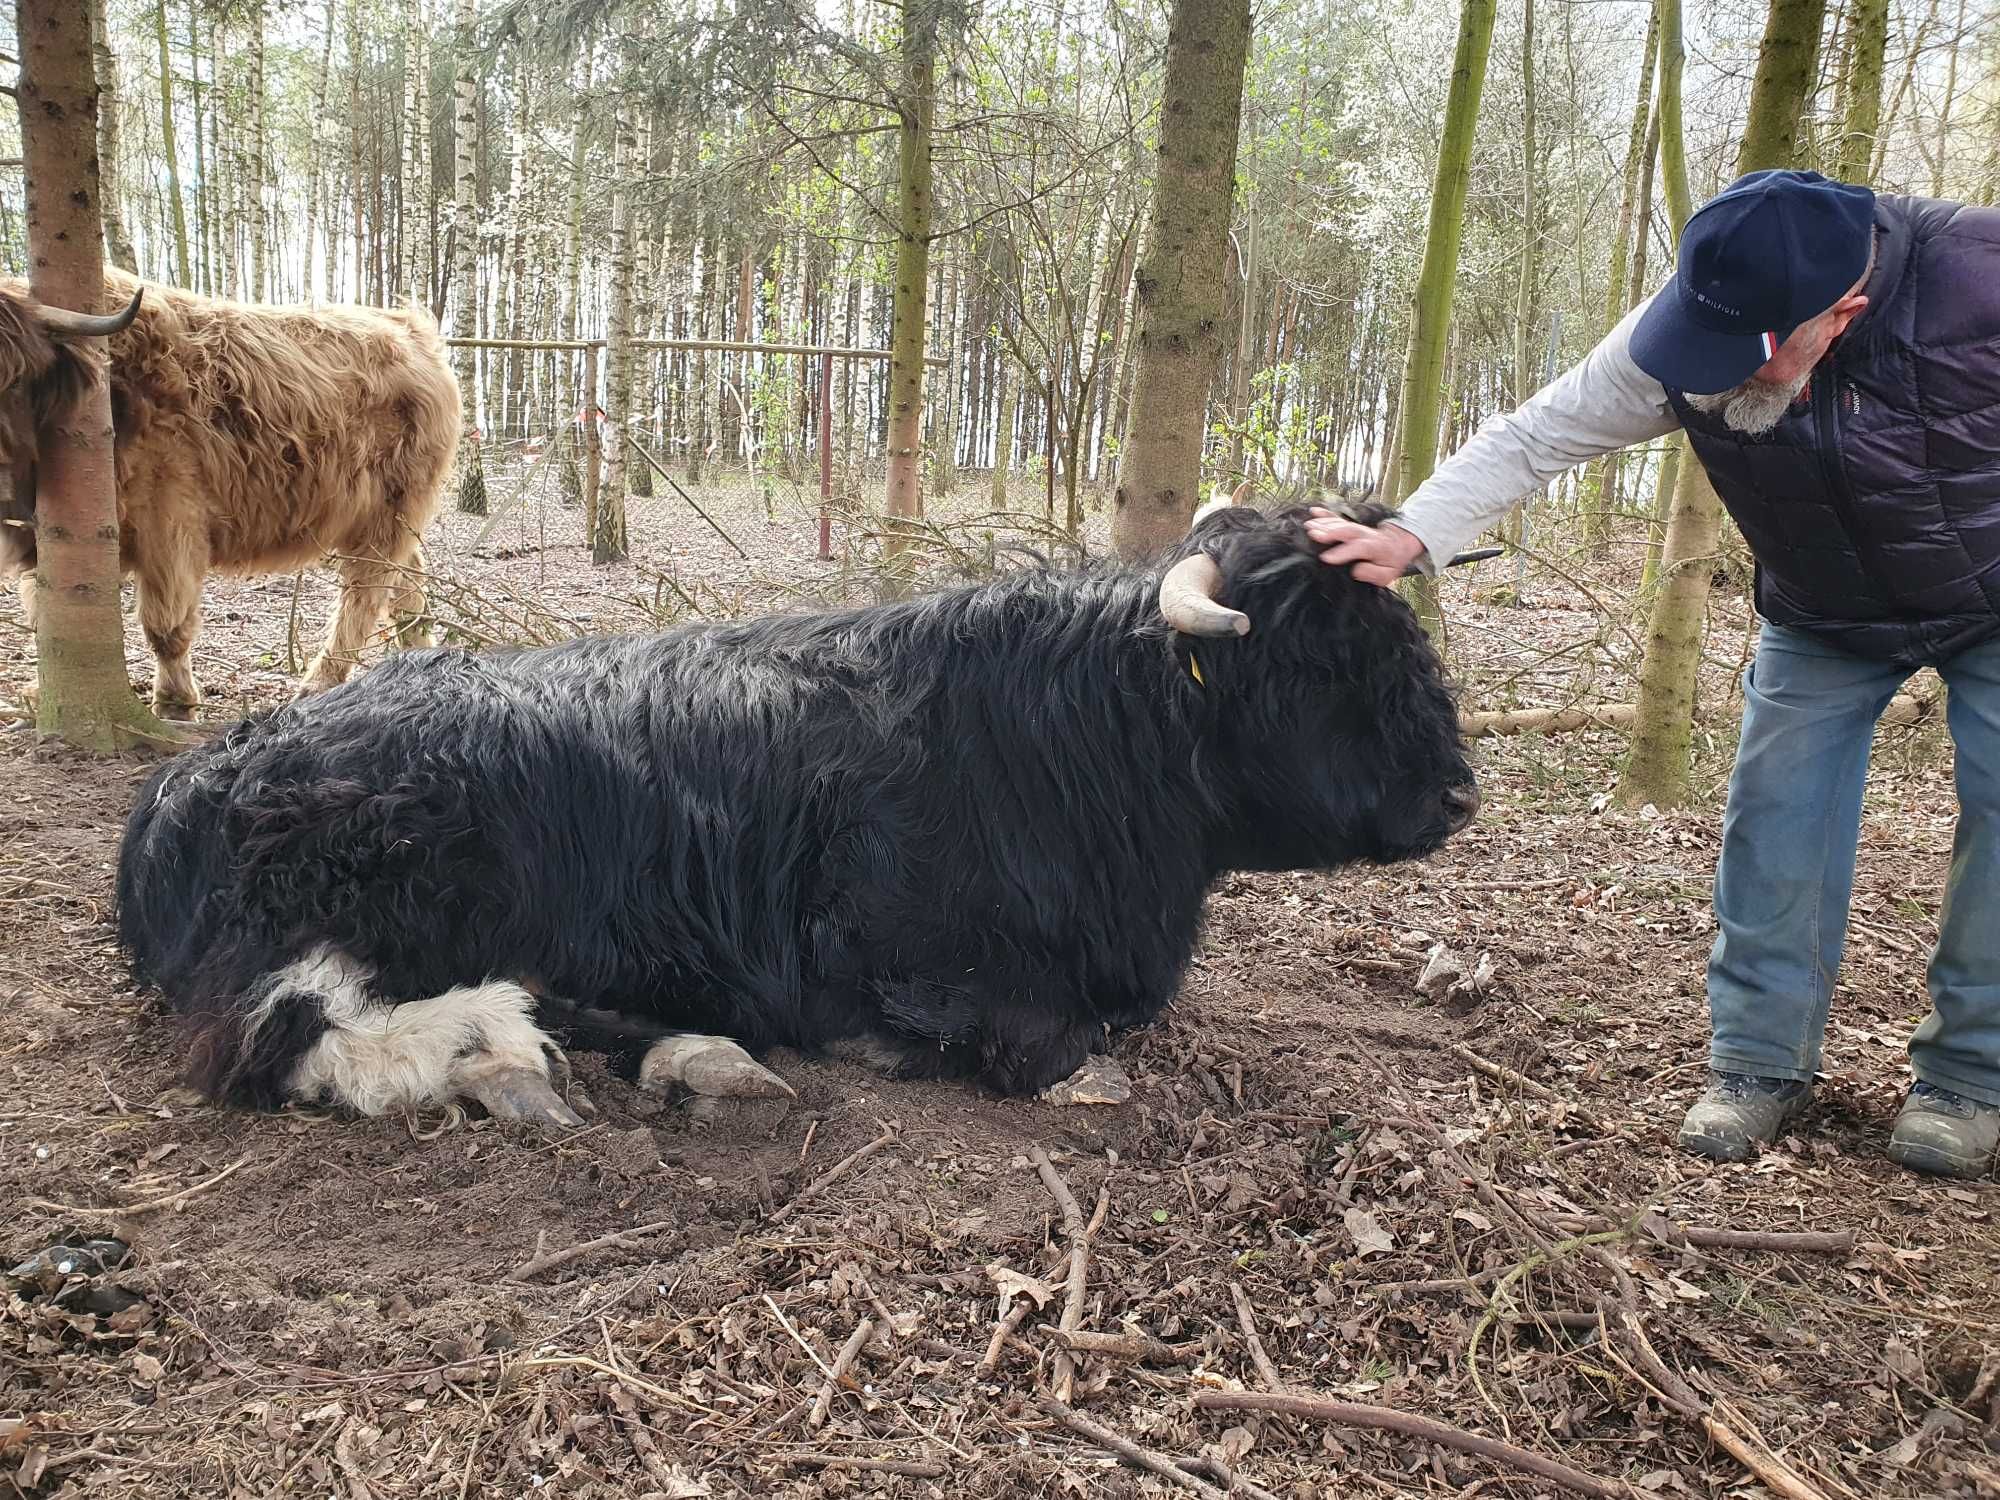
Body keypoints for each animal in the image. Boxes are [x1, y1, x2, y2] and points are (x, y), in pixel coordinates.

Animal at [117, 506, 1480, 1128]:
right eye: (1313, 659)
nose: (1455, 793)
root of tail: (202, 772)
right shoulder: (919, 964)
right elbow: (1047, 1050)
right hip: (365, 903)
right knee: (281, 1036)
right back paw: (499, 1045)